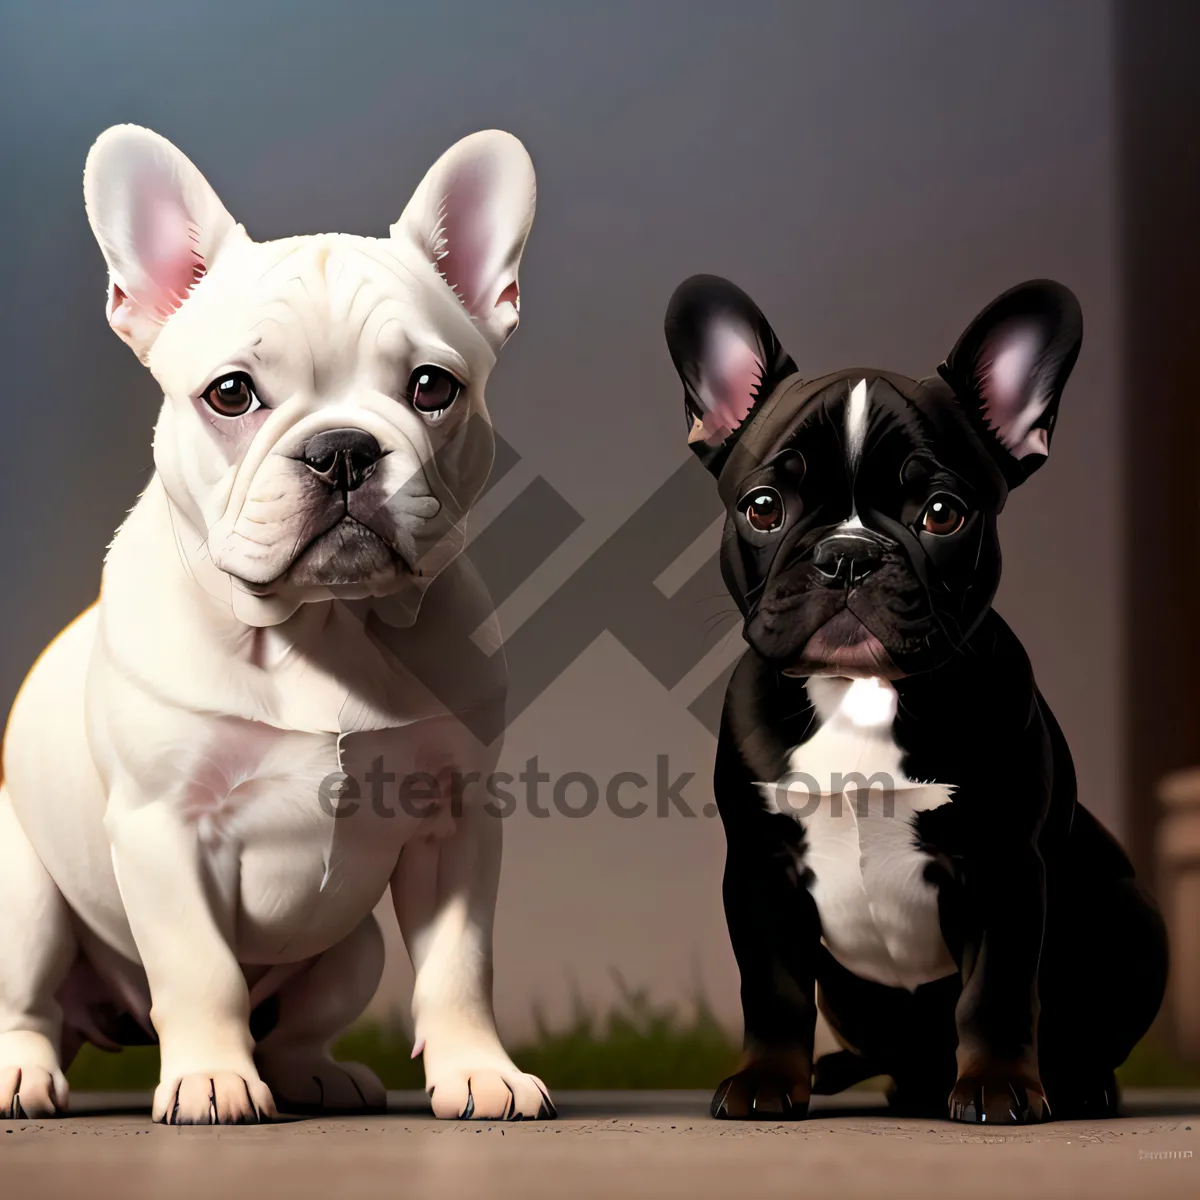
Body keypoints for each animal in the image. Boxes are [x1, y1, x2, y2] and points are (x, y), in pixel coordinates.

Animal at [0, 124, 552, 1123]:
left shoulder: (455, 827)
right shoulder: (164, 828)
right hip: (22, 900)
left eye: (432, 387)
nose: (342, 451)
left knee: (306, 1017)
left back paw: (315, 1073)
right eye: (230, 394)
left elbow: (460, 966)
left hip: (351, 951)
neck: (323, 629)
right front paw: (213, 1079)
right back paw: (24, 1073)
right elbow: (200, 969)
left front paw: (479, 1073)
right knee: (28, 999)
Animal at [667, 276, 1161, 1118]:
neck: (863, 694)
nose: (848, 555)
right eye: (764, 507)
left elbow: (997, 991)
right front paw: (767, 1081)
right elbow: (773, 990)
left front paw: (998, 1085)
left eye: (942, 514)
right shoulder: (762, 871)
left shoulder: (1004, 867)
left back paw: (1075, 1083)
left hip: (1133, 914)